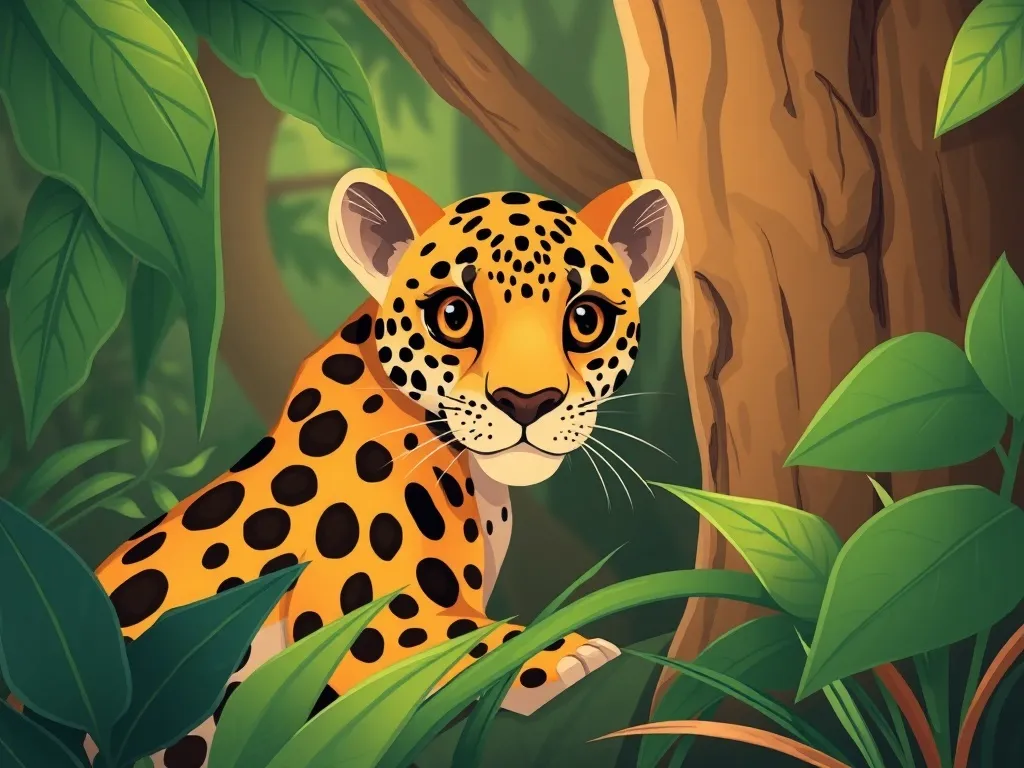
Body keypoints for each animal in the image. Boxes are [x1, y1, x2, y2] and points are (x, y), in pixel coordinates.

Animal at [83, 168, 683, 767]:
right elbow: (476, 640)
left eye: (586, 318)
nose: (527, 401)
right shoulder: (373, 619)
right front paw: (567, 655)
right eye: (453, 315)